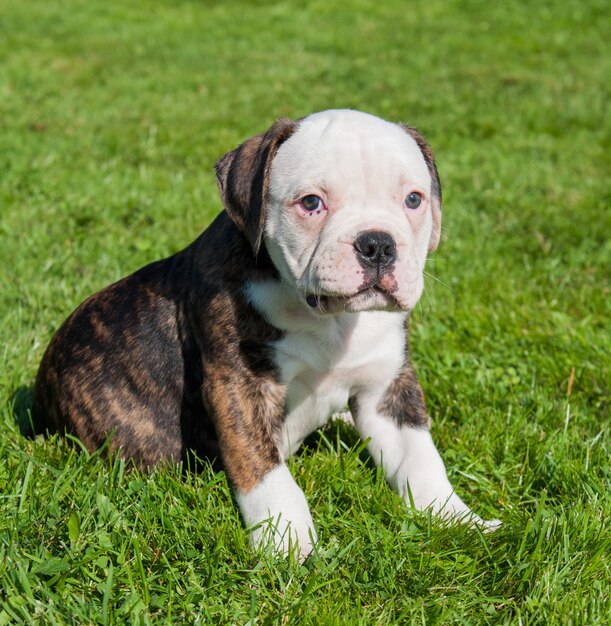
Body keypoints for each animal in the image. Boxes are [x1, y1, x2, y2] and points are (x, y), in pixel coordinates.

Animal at [33, 108, 500, 556]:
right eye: (311, 203)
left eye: (413, 199)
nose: (378, 244)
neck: (330, 320)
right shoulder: (239, 387)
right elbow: (266, 472)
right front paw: (289, 543)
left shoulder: (387, 390)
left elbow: (420, 458)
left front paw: (460, 520)